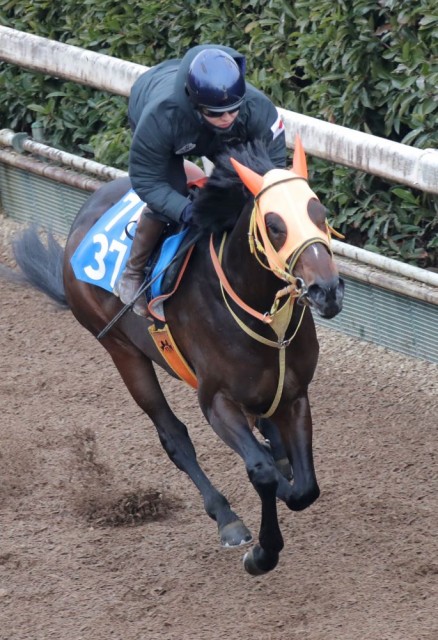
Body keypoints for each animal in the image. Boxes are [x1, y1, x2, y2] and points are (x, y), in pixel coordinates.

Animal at [8, 139, 346, 576]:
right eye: (274, 225)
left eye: (320, 213)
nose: (327, 290)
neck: (260, 314)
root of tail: (82, 218)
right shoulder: (216, 401)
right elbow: (263, 473)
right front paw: (261, 553)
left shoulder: (295, 393)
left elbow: (305, 488)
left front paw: (286, 479)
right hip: (122, 351)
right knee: (173, 436)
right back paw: (226, 517)